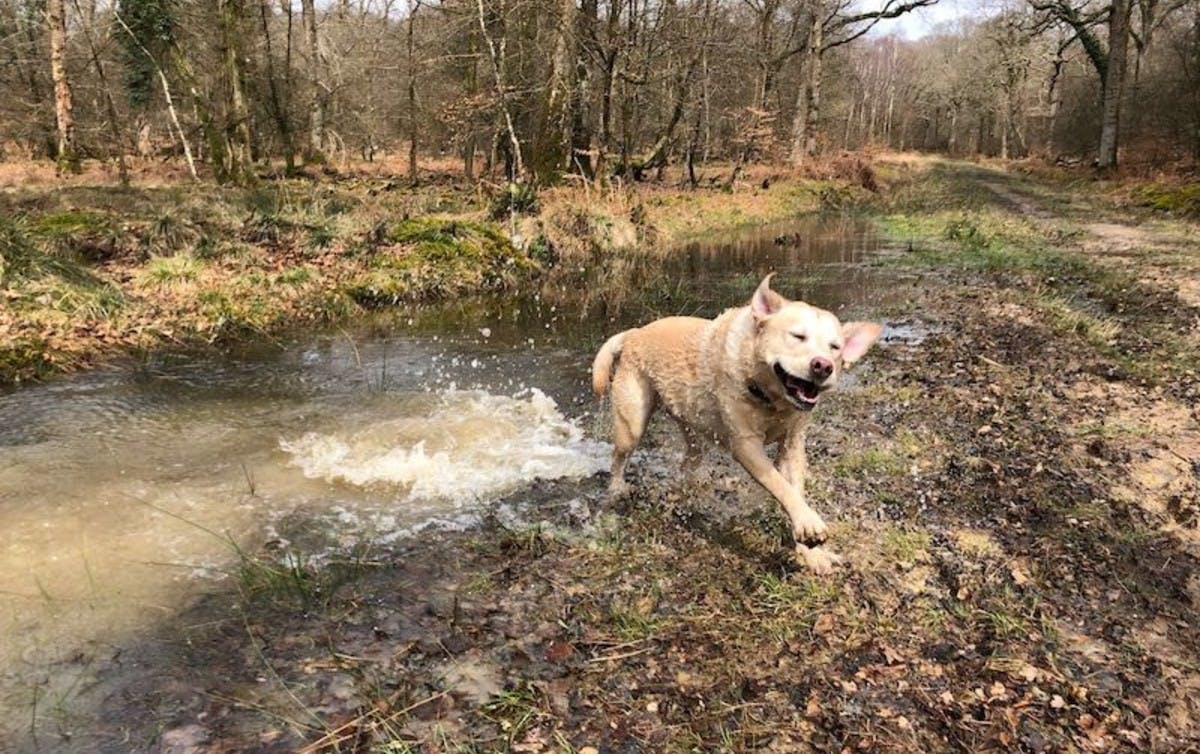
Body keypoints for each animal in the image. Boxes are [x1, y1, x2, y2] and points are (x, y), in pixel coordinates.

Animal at [592, 273, 883, 573]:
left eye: (835, 348)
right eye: (798, 336)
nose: (823, 366)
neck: (770, 398)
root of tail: (633, 333)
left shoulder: (792, 444)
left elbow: (794, 488)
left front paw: (811, 552)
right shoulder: (746, 446)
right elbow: (779, 485)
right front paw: (809, 525)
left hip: (691, 427)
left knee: (689, 461)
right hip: (632, 423)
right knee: (618, 458)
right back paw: (617, 490)